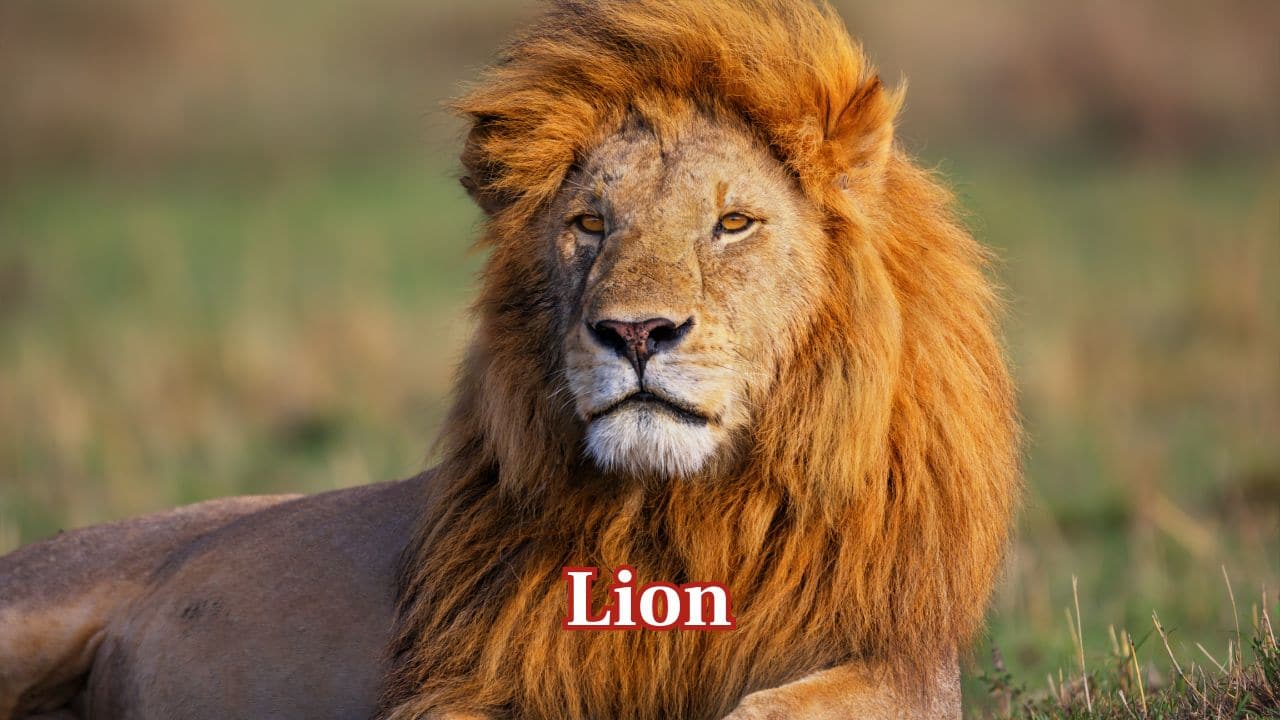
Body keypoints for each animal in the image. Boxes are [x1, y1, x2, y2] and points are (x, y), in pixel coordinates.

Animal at [0, 1, 1019, 718]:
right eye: (590, 224)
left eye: (733, 223)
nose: (635, 334)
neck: (678, 518)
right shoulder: (473, 677)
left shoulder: (897, 660)